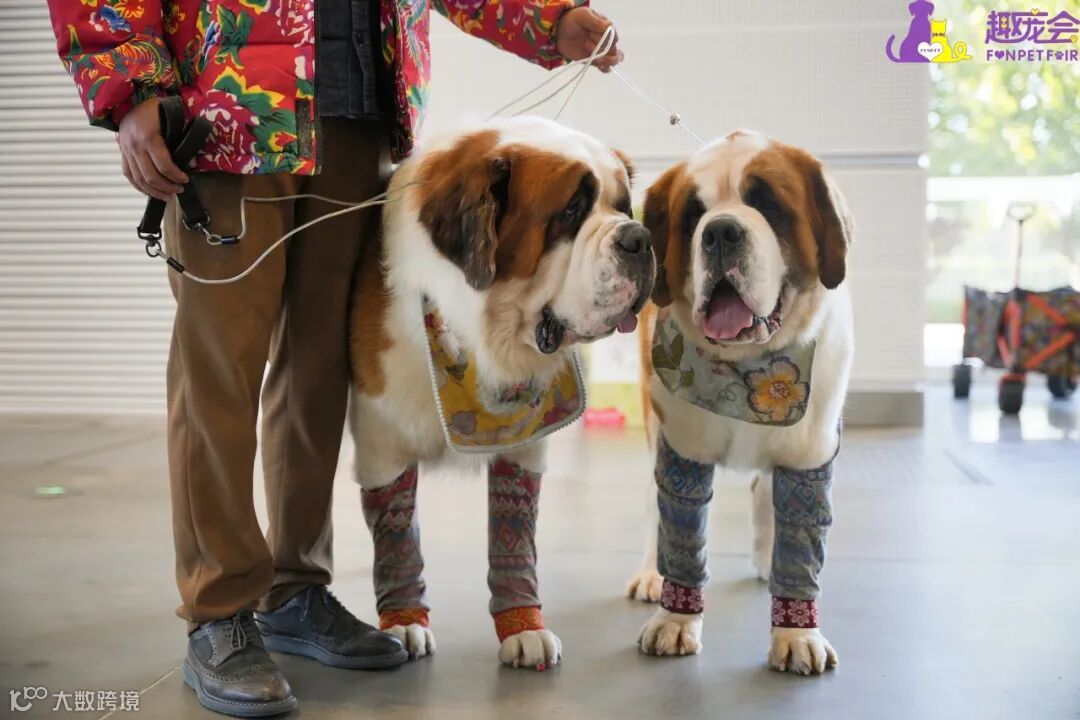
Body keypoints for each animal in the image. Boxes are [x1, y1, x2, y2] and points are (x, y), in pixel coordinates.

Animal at [347, 116, 655, 669]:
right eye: (571, 210)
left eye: (623, 206)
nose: (639, 237)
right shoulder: (383, 443)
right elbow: (396, 535)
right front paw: (403, 620)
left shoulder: (524, 442)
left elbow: (513, 540)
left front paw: (523, 627)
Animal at [624, 130, 854, 675]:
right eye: (693, 213)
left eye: (768, 204)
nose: (721, 232)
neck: (749, 368)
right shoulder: (681, 450)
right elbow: (681, 539)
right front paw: (675, 620)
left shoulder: (811, 456)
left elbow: (800, 544)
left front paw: (797, 632)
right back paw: (650, 573)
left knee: (763, 490)